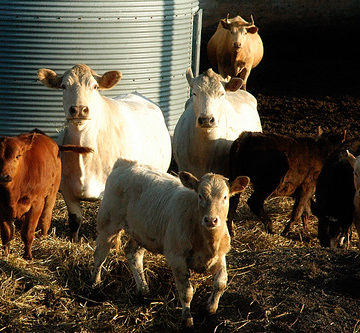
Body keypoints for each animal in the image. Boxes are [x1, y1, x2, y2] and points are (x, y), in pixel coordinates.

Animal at [0, 130, 91, 260]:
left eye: (17, 156)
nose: (4, 176)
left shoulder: (36, 204)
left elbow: (28, 232)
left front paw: (28, 256)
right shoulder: (1, 209)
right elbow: (7, 234)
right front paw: (6, 255)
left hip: (51, 195)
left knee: (45, 219)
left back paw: (43, 238)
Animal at [37, 63, 172, 240]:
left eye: (95, 86)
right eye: (64, 86)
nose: (79, 109)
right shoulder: (66, 188)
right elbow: (74, 220)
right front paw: (74, 240)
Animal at [93, 158, 249, 326]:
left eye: (225, 197)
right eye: (200, 196)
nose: (211, 220)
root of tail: (125, 163)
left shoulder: (220, 255)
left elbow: (221, 283)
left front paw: (210, 309)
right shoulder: (177, 257)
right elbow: (186, 291)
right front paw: (187, 318)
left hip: (142, 232)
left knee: (133, 253)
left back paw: (143, 288)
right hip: (108, 223)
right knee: (100, 254)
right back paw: (95, 284)